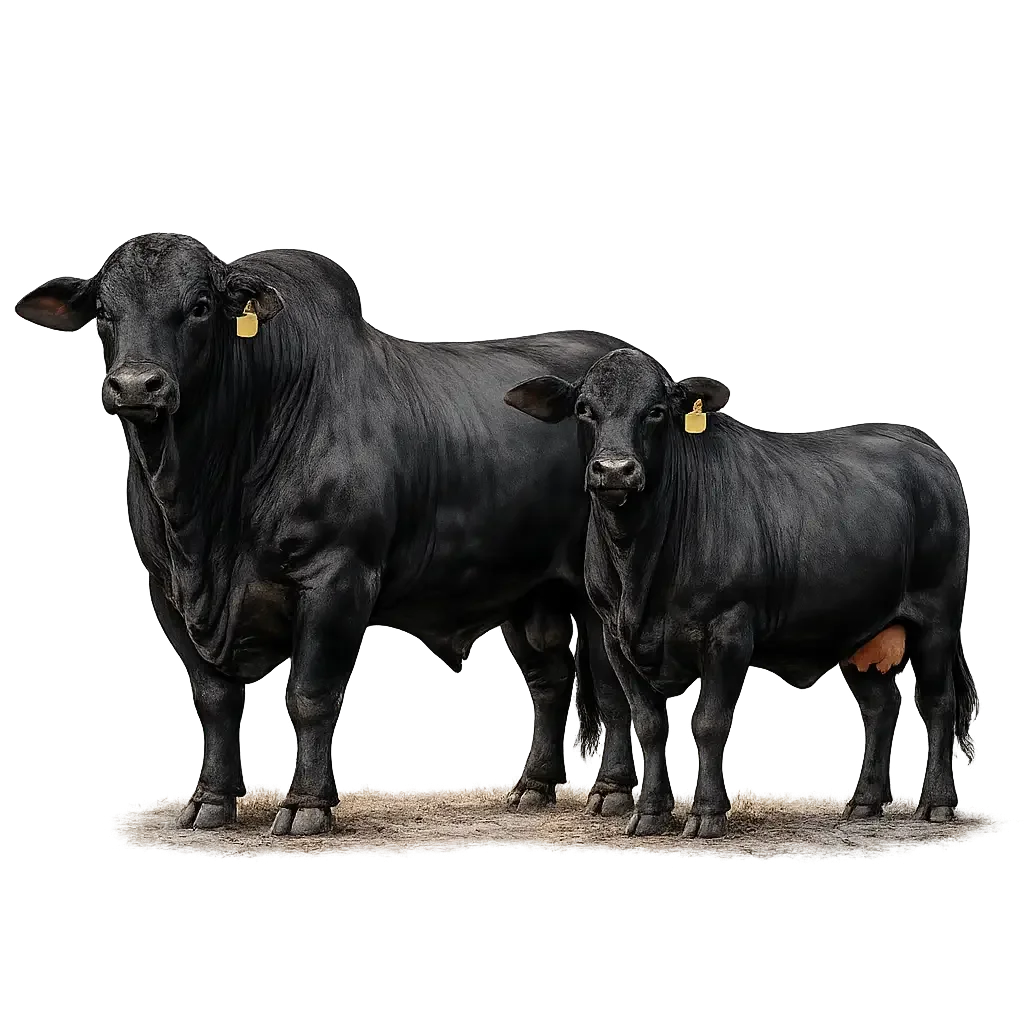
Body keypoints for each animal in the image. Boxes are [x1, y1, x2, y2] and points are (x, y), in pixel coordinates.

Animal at [17, 233, 641, 836]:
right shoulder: (167, 591)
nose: (135, 385)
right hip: (524, 589)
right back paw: (532, 789)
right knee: (548, 678)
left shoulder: (338, 576)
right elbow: (215, 699)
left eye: (198, 307)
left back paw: (611, 793)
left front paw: (306, 805)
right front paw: (210, 801)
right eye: (104, 311)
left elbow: (310, 695)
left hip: (594, 592)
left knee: (610, 686)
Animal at [504, 347, 977, 838]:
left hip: (938, 620)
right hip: (859, 630)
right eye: (584, 409)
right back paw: (864, 802)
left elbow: (710, 722)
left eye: (655, 410)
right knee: (880, 707)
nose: (615, 469)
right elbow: (648, 724)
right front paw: (650, 813)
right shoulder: (616, 636)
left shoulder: (728, 630)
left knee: (937, 704)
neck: (640, 562)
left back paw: (936, 802)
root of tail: (924, 448)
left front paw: (707, 813)